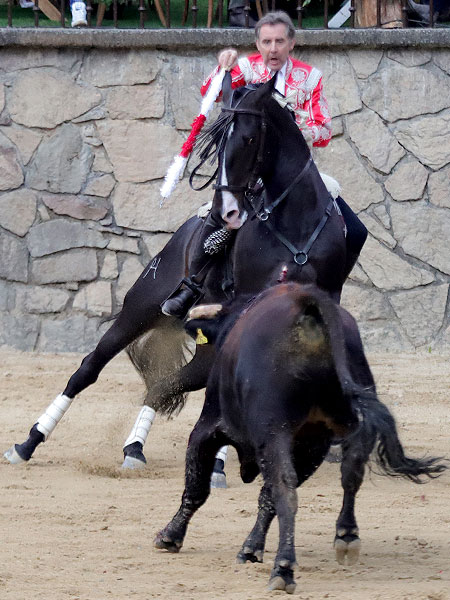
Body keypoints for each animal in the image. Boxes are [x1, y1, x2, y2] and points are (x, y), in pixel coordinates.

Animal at [4, 74, 352, 468]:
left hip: (202, 349)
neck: (294, 222)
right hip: (140, 308)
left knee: (166, 384)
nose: (228, 209)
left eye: (249, 138)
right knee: (89, 368)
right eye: (218, 143)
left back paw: (135, 449)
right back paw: (28, 443)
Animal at [155, 284, 446, 592]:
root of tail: (308, 304)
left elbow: (197, 488)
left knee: (286, 491)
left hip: (275, 432)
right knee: (350, 475)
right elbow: (265, 497)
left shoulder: (209, 427)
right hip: (336, 432)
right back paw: (346, 536)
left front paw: (170, 535)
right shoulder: (307, 445)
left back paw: (283, 570)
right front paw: (251, 549)